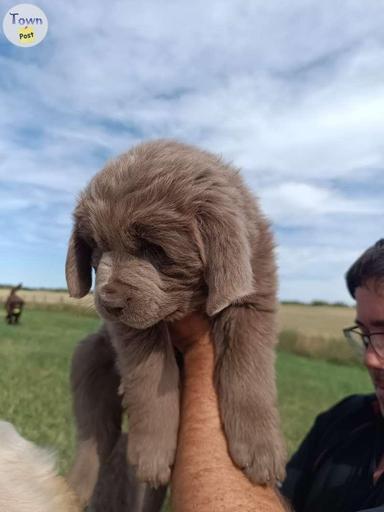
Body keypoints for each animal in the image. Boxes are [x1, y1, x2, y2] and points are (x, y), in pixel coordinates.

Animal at [66, 139, 284, 496]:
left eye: (155, 250)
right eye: (96, 247)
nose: (109, 301)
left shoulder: (253, 294)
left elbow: (247, 368)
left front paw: (260, 449)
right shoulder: (133, 330)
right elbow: (150, 377)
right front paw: (152, 455)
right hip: (90, 358)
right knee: (95, 433)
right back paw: (76, 488)